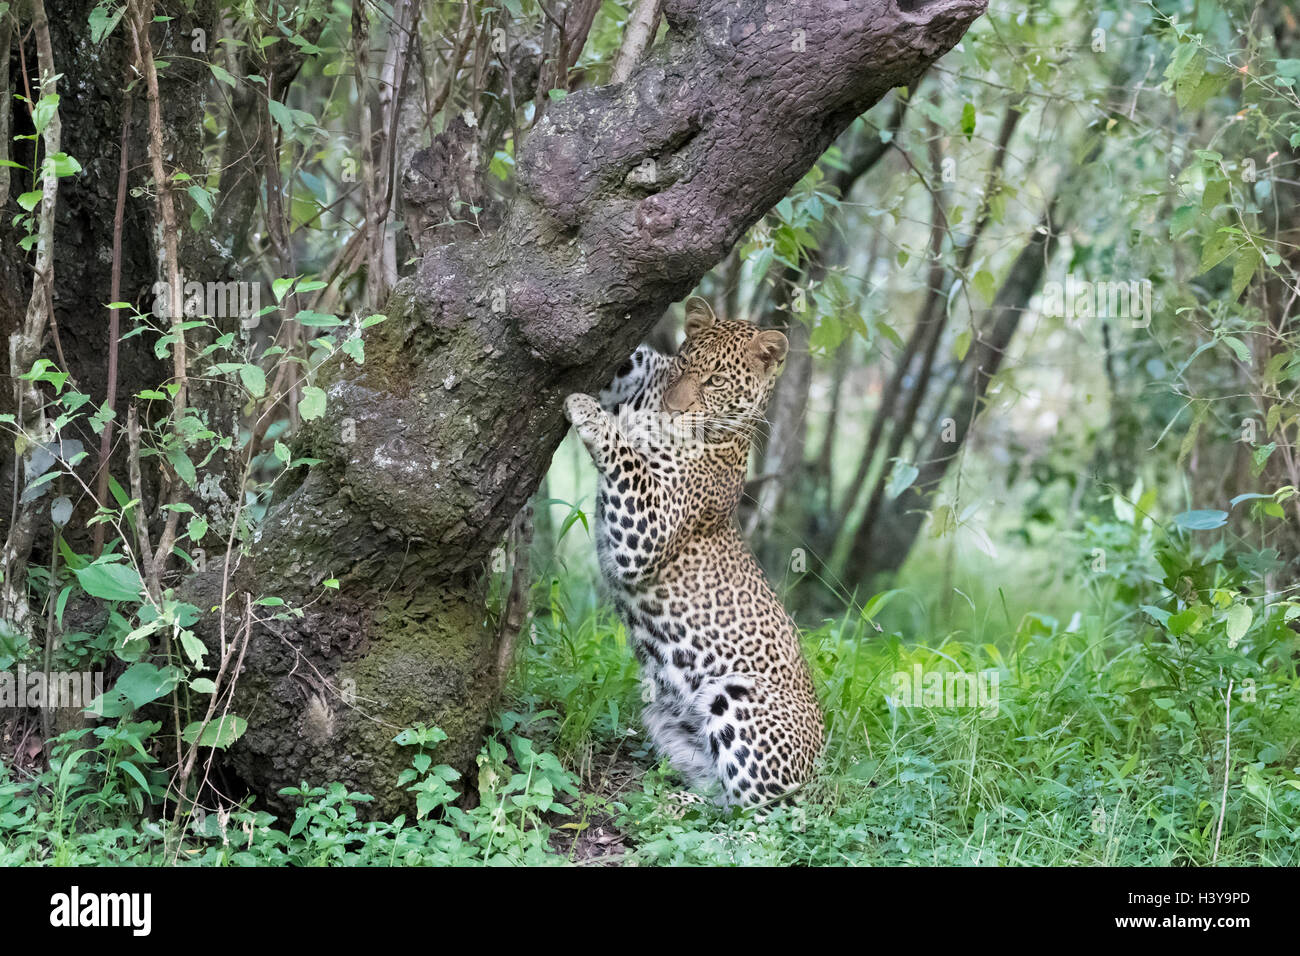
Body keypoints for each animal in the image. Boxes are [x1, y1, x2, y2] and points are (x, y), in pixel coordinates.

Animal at [563, 297, 824, 807]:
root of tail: (825, 764)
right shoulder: (640, 371)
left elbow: (625, 457)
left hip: (735, 696)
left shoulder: (647, 528)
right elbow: (627, 359)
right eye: (685, 366)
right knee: (718, 793)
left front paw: (588, 412)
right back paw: (669, 802)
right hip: (662, 718)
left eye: (716, 382)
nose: (673, 409)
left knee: (762, 812)